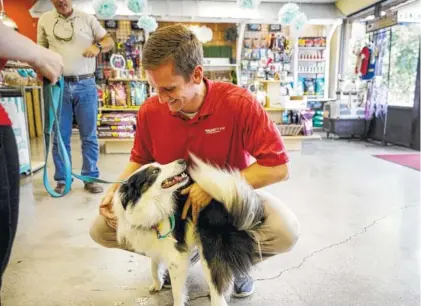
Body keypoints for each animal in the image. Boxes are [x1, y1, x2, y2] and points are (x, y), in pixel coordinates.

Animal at [113, 155, 264, 306]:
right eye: (155, 171)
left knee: (217, 288)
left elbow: (177, 291)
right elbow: (154, 266)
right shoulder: (156, 244)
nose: (182, 160)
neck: (153, 207)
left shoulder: (175, 256)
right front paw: (157, 284)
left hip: (210, 252)